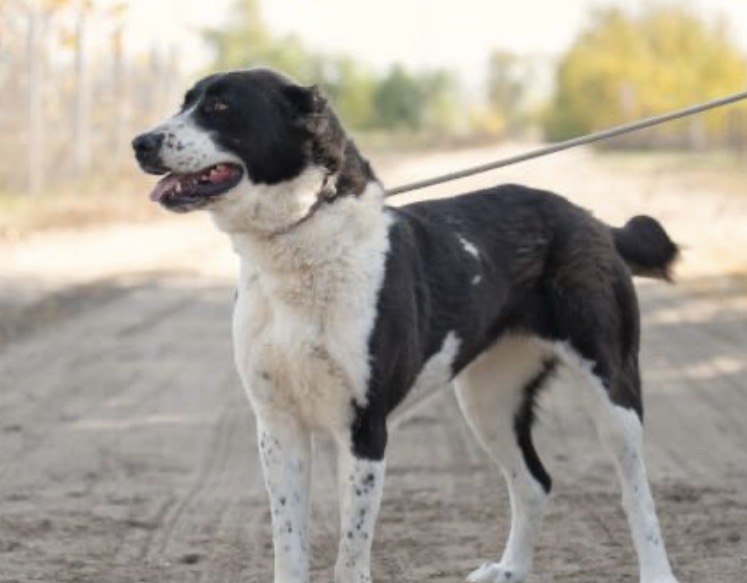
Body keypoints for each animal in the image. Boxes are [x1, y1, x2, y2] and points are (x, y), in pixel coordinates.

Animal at [133, 68, 682, 583]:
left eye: (221, 107)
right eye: (184, 103)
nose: (140, 143)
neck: (299, 246)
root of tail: (590, 219)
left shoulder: (363, 429)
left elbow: (350, 557)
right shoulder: (278, 428)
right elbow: (289, 547)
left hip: (612, 396)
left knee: (638, 495)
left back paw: (657, 572)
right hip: (489, 401)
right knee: (534, 483)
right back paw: (510, 570)